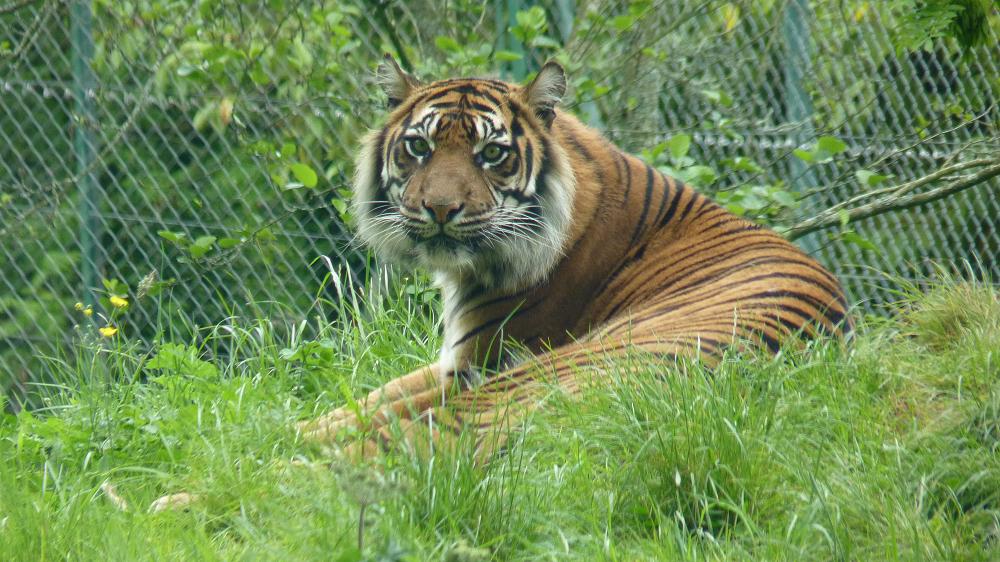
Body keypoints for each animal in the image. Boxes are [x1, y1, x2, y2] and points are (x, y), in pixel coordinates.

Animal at [298, 55, 851, 461]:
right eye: (418, 147)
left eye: (491, 154)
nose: (439, 208)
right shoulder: (451, 362)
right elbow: (364, 398)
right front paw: (299, 420)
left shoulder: (477, 364)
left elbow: (373, 410)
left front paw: (288, 433)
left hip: (554, 366)